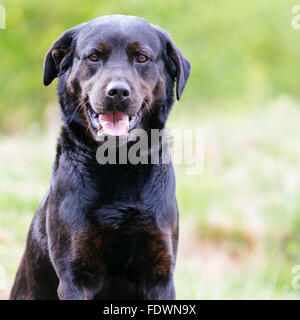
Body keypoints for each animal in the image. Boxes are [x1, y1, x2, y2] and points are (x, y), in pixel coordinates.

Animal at [11, 15, 190, 300]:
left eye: (141, 58)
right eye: (94, 57)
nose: (117, 92)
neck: (117, 164)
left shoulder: (159, 274)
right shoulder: (75, 275)